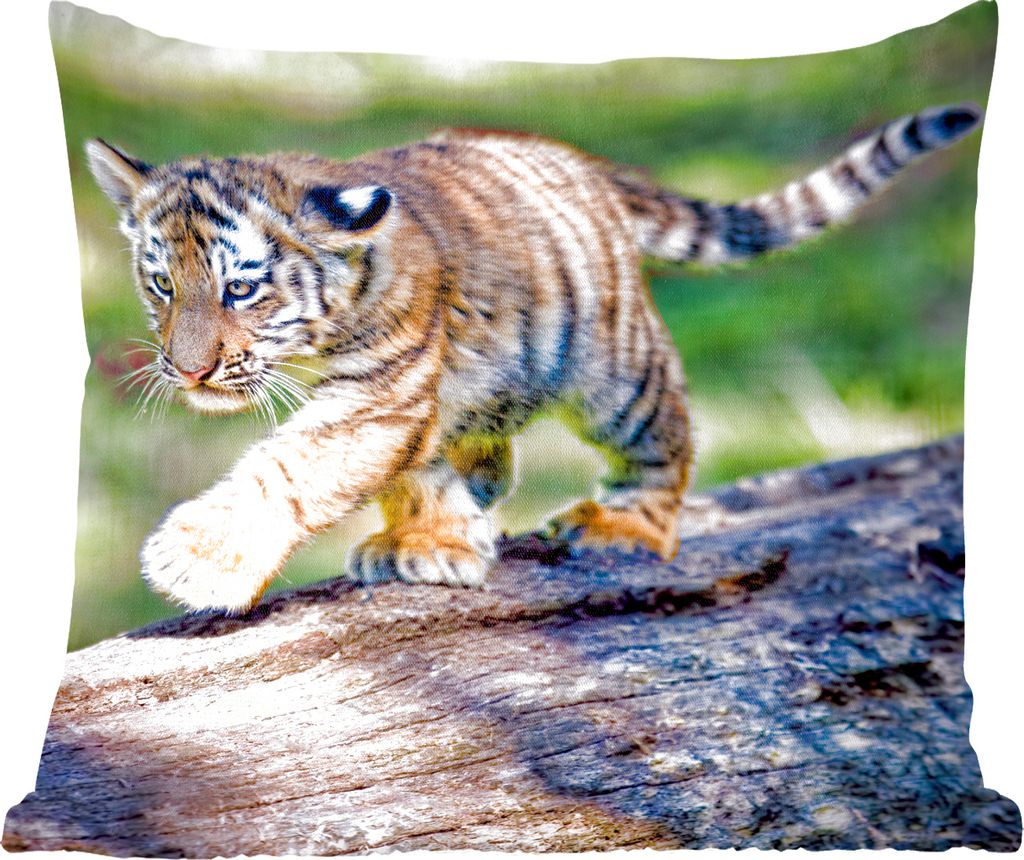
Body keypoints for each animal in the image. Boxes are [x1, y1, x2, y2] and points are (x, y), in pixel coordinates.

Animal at [85, 103, 982, 612]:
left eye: (240, 289)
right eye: (161, 284)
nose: (188, 371)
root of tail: (582, 161)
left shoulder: (379, 393)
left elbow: (290, 467)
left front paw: (194, 561)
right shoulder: (409, 400)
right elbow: (410, 473)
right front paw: (429, 542)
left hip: (616, 373)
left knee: (666, 439)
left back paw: (622, 526)